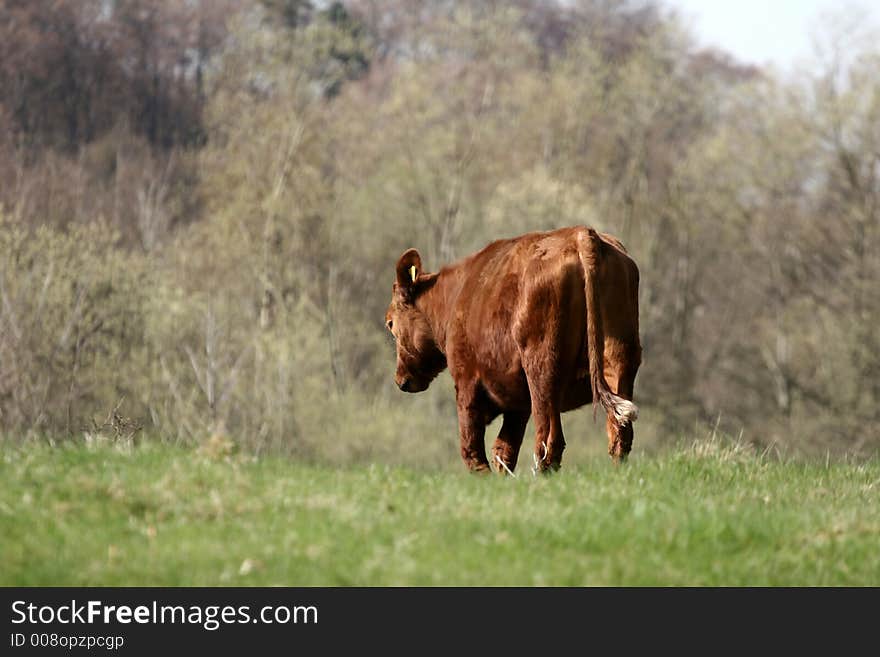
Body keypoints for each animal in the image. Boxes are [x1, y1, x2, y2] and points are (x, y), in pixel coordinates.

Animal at [384, 226, 640, 472]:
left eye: (390, 323)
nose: (400, 379)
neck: (454, 297)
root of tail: (581, 234)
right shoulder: (516, 404)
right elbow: (503, 452)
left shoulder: (466, 380)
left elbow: (472, 449)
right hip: (619, 361)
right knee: (619, 434)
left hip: (542, 372)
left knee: (549, 440)